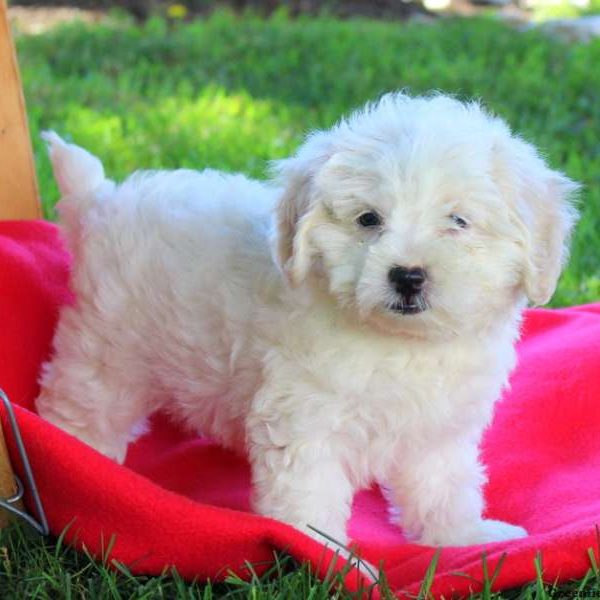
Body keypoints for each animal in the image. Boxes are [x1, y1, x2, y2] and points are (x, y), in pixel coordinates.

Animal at [36, 94, 576, 548]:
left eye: (459, 222)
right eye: (368, 219)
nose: (407, 275)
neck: (402, 342)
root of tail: (101, 199)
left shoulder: (438, 430)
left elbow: (445, 486)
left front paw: (465, 539)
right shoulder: (304, 421)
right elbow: (309, 502)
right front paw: (325, 558)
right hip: (107, 353)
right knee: (78, 408)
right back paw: (77, 462)